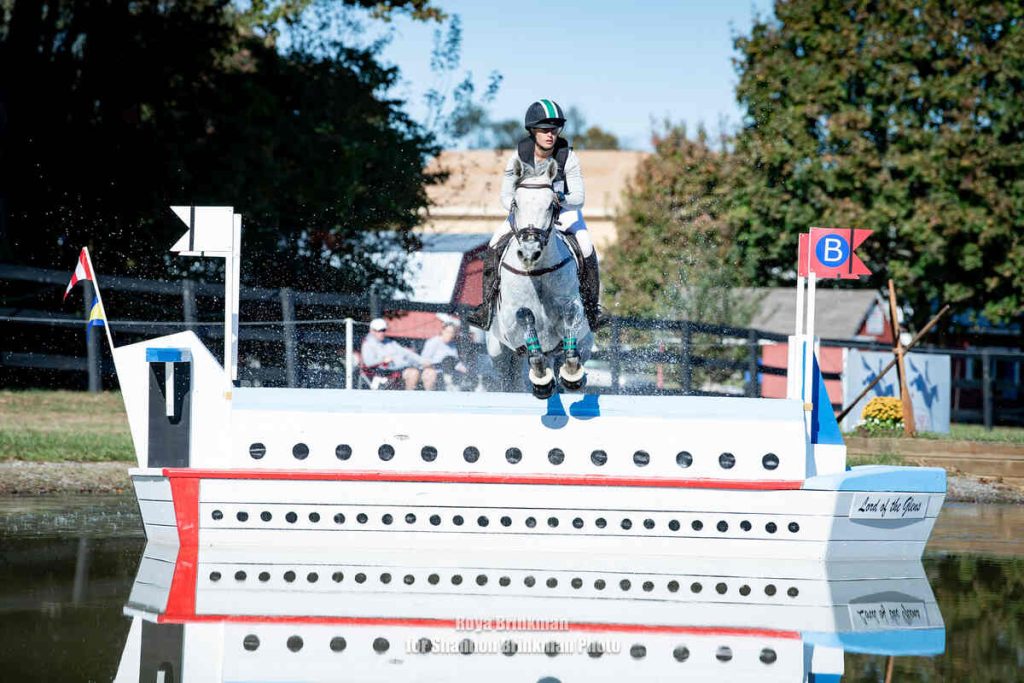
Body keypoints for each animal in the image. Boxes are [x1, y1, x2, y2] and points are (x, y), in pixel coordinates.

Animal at [485, 156, 593, 397]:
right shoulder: (509, 325)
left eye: (551, 205)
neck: (537, 272)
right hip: (497, 351)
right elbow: (525, 316)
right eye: (515, 204)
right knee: (507, 376)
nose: (529, 253)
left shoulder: (573, 309)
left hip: (585, 343)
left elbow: (570, 314)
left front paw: (572, 373)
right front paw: (541, 380)